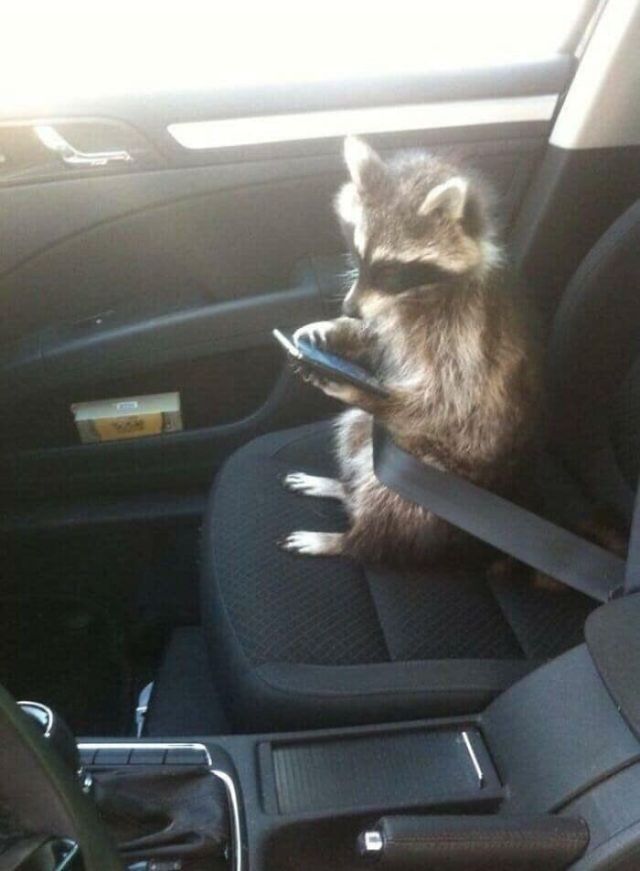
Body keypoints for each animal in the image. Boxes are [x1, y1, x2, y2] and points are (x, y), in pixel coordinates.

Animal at [280, 136, 542, 569]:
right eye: (356, 254)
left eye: (391, 271)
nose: (349, 308)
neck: (415, 293)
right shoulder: (391, 316)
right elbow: (377, 337)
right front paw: (336, 329)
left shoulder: (464, 331)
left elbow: (445, 399)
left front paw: (358, 386)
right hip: (374, 439)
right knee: (354, 430)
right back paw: (343, 488)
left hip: (432, 476)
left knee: (389, 500)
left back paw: (350, 540)